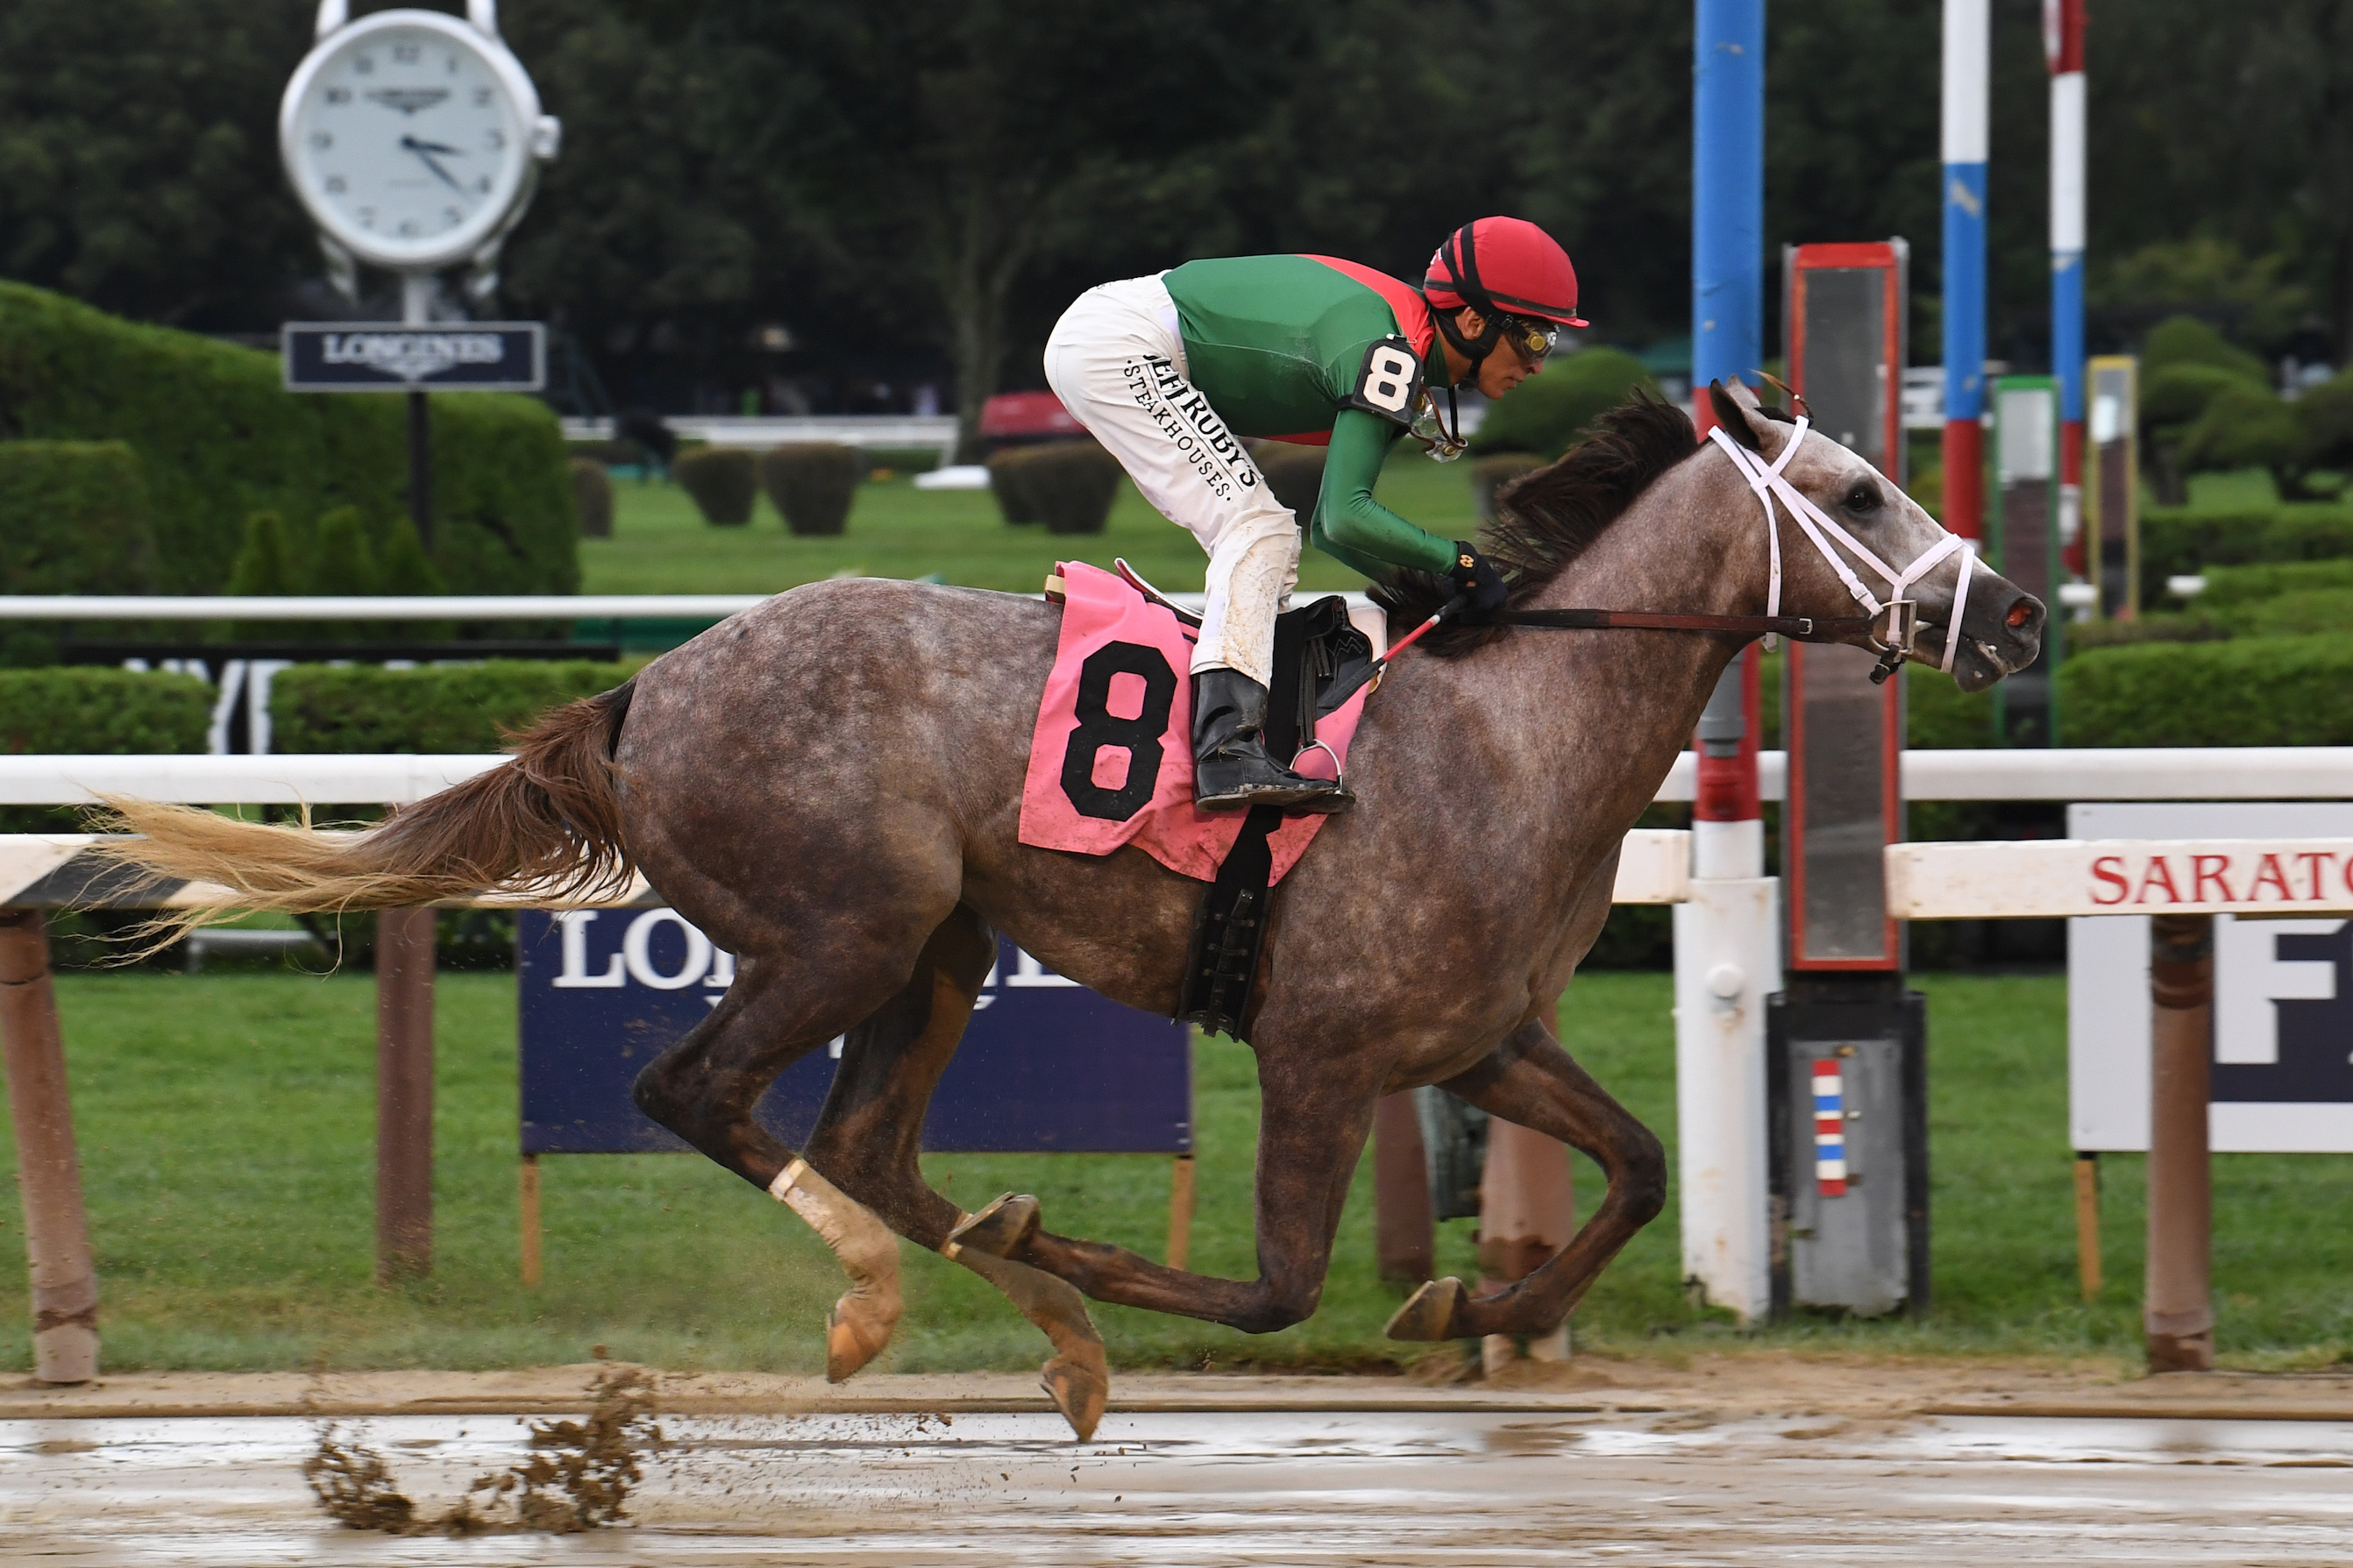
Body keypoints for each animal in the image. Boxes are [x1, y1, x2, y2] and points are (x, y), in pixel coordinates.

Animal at [101, 385, 2042, 1438]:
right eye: (1855, 493)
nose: (2016, 613)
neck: (1507, 730)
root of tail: (650, 685)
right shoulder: (1323, 1049)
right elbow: (1268, 1288)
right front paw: (1112, 1253)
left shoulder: (1474, 1036)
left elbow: (1634, 1166)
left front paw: (1466, 1305)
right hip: (848, 926)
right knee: (702, 1095)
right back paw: (891, 1295)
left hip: (940, 948)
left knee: (862, 1141)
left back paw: (1025, 1307)